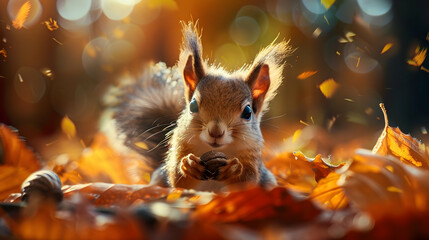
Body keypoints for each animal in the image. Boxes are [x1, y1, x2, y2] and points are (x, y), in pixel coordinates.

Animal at [108, 22, 292, 191]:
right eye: (193, 105)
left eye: (247, 112)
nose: (216, 132)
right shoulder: (181, 147)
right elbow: (178, 180)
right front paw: (188, 165)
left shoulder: (252, 159)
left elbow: (248, 181)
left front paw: (234, 169)